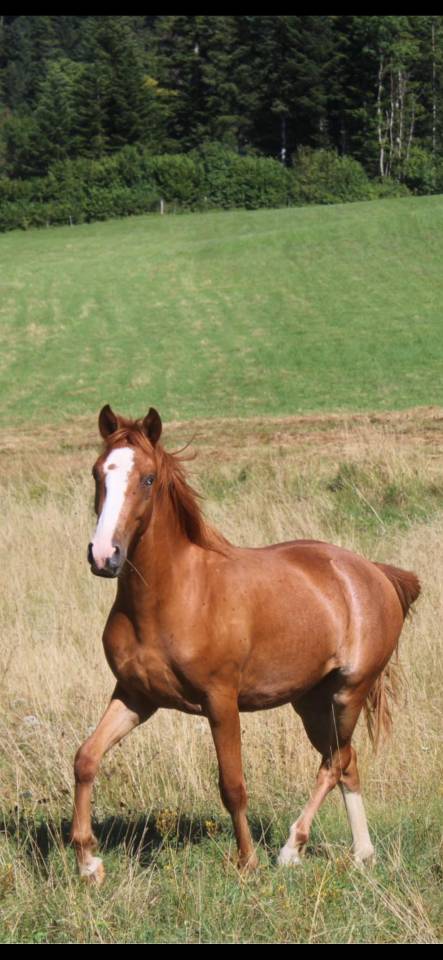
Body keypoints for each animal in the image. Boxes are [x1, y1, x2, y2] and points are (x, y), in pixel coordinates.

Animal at [71, 405, 421, 884]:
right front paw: (88, 862)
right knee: (347, 762)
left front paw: (248, 861)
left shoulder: (220, 700)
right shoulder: (136, 697)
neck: (176, 595)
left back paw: (291, 849)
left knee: (333, 762)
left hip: (350, 691)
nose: (105, 556)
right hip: (312, 701)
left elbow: (232, 785)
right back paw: (361, 854)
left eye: (147, 478)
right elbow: (86, 758)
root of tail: (376, 573)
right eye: (96, 472)